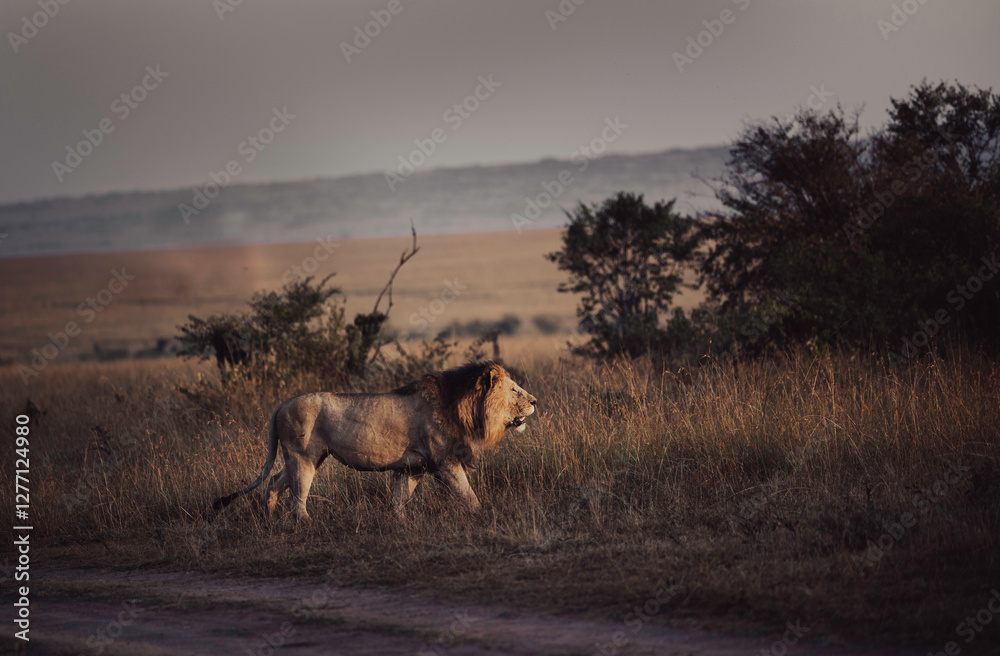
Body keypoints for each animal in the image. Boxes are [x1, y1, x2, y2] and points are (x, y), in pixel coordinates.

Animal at [212, 361, 536, 521]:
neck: (463, 406)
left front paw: (400, 524)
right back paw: (305, 525)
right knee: (296, 498)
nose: (534, 401)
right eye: (514, 389)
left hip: (301, 459)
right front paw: (485, 515)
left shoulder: (412, 468)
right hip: (304, 457)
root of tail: (281, 405)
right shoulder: (444, 462)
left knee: (274, 482)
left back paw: (268, 519)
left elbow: (399, 499)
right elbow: (468, 494)